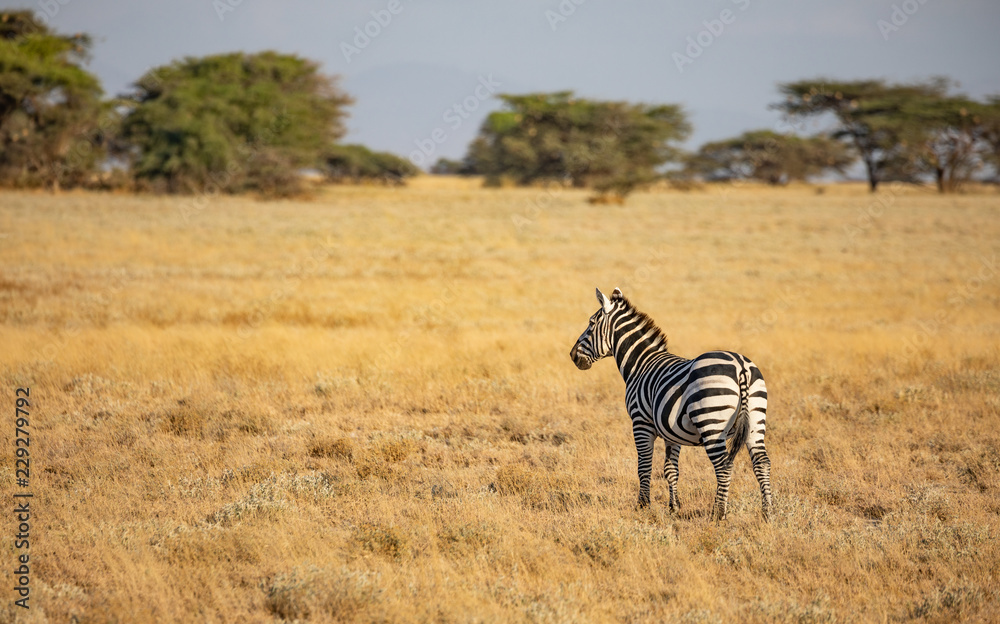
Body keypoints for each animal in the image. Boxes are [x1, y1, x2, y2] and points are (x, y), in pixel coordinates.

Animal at [570, 287, 772, 521]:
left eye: (591, 323)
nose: (572, 355)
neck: (640, 364)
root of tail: (741, 366)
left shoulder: (641, 423)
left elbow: (644, 465)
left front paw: (643, 505)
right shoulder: (671, 432)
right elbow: (671, 469)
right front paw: (674, 507)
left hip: (712, 422)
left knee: (723, 466)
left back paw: (718, 513)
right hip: (756, 419)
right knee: (762, 462)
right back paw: (768, 512)